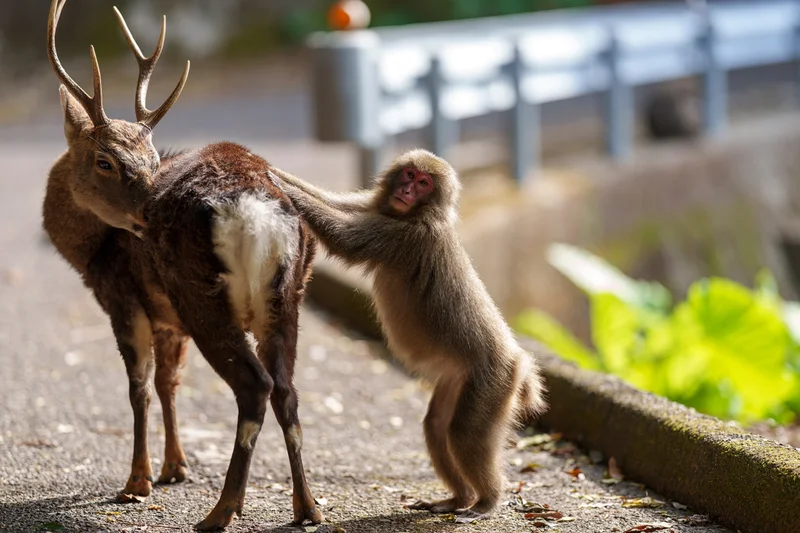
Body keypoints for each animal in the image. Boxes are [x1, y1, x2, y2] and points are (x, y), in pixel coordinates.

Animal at [43, 0, 323, 529]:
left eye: (152, 158)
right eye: (106, 161)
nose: (148, 208)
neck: (89, 251)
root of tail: (256, 210)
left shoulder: (123, 298)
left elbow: (139, 387)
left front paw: (137, 482)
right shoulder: (168, 318)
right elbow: (168, 382)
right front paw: (176, 467)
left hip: (202, 294)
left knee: (255, 387)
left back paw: (222, 510)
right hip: (287, 296)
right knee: (287, 390)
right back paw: (308, 507)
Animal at [270, 149, 547, 518]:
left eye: (424, 183)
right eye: (410, 175)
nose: (406, 191)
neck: (414, 213)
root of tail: (518, 360)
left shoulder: (408, 237)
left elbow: (344, 237)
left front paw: (276, 181)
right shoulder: (377, 208)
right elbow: (335, 203)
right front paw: (271, 170)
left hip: (493, 381)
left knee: (463, 433)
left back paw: (487, 501)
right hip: (458, 379)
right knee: (437, 426)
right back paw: (458, 498)